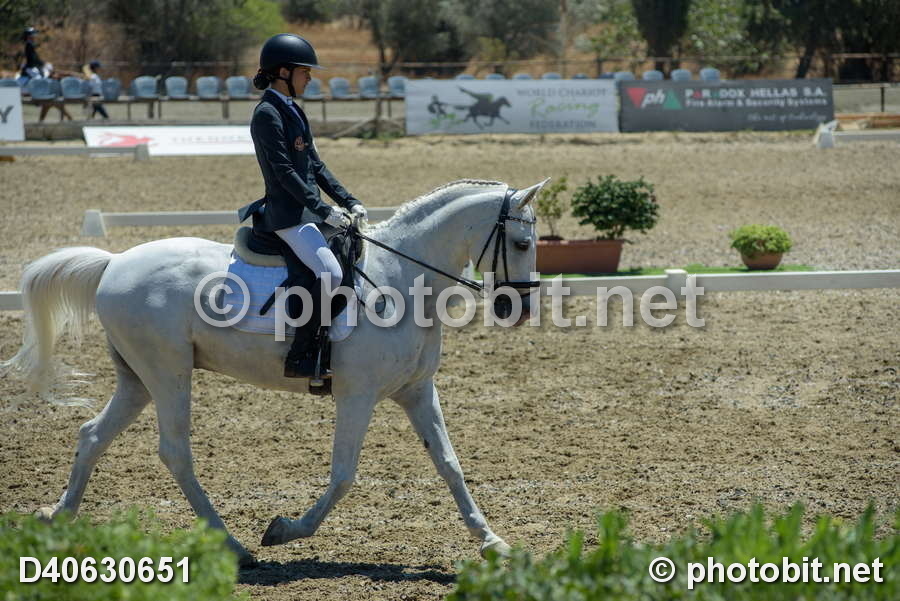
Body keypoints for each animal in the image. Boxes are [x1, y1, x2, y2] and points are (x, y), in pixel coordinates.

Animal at [1, 179, 546, 566]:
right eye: (521, 242)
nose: (517, 308)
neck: (401, 281)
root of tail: (113, 263)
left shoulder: (416, 391)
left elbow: (450, 464)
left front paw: (492, 541)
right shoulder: (357, 394)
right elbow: (344, 474)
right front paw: (285, 530)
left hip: (138, 379)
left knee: (93, 434)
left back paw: (56, 516)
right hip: (167, 372)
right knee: (175, 452)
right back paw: (235, 547)